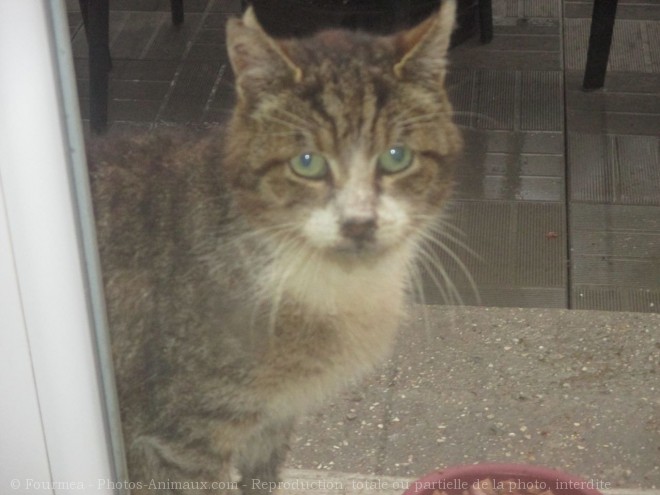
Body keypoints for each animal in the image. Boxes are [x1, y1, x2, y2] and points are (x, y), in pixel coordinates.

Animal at [90, 1, 462, 494]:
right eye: (307, 163)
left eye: (396, 157)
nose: (359, 223)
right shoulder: (183, 441)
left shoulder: (273, 420)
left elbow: (262, 479)